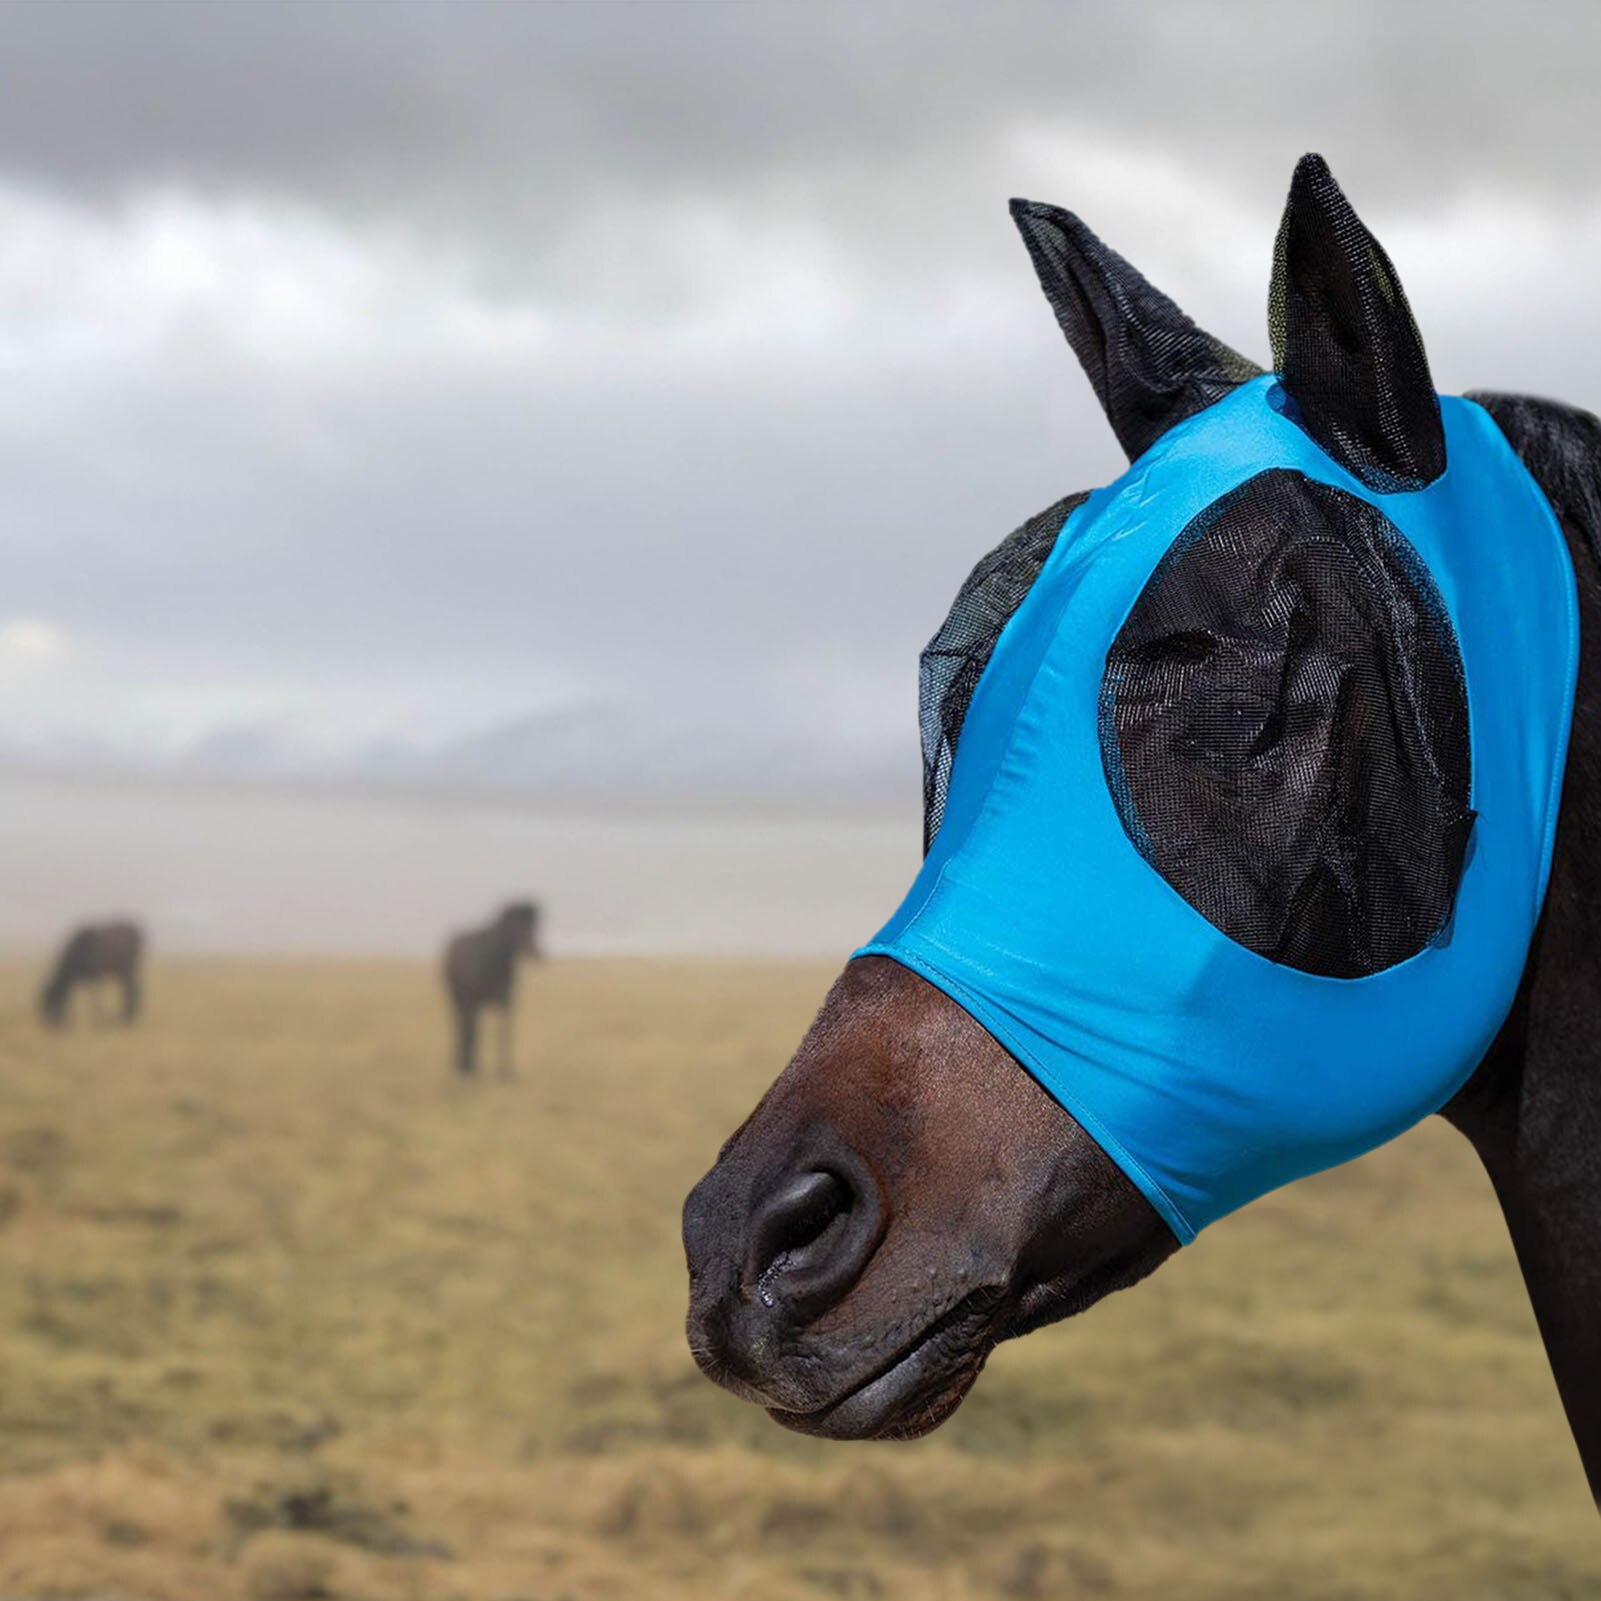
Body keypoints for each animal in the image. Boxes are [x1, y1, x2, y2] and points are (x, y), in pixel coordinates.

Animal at [442, 900, 542, 1077]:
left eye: (534, 925)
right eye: (515, 925)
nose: (535, 953)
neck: (494, 963)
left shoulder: (506, 1003)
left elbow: (504, 1033)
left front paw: (506, 1072)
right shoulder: (472, 1003)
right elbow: (474, 1032)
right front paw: (470, 1069)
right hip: (456, 999)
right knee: (460, 1026)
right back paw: (461, 1063)